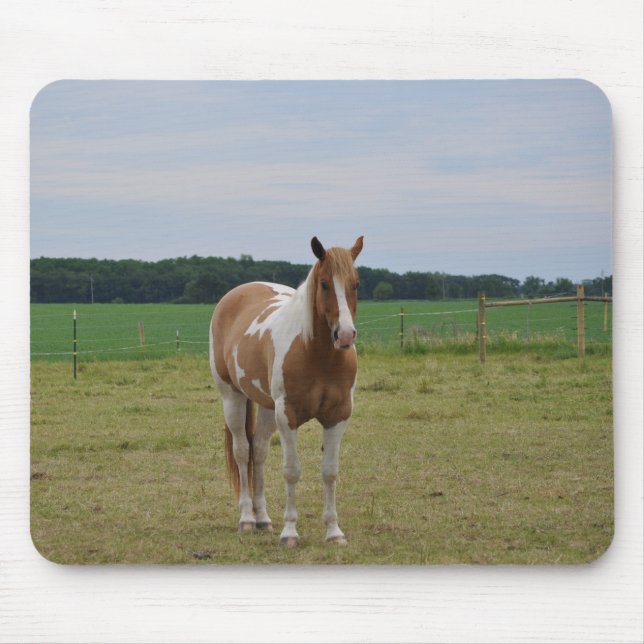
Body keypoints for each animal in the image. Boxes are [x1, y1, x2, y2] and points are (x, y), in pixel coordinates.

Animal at [209, 235, 364, 547]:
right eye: (324, 283)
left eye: (356, 283)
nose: (344, 335)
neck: (317, 355)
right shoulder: (287, 416)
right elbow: (292, 472)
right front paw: (290, 532)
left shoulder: (339, 416)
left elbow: (330, 472)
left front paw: (334, 531)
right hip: (232, 397)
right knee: (242, 452)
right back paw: (247, 518)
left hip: (267, 407)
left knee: (258, 451)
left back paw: (263, 519)